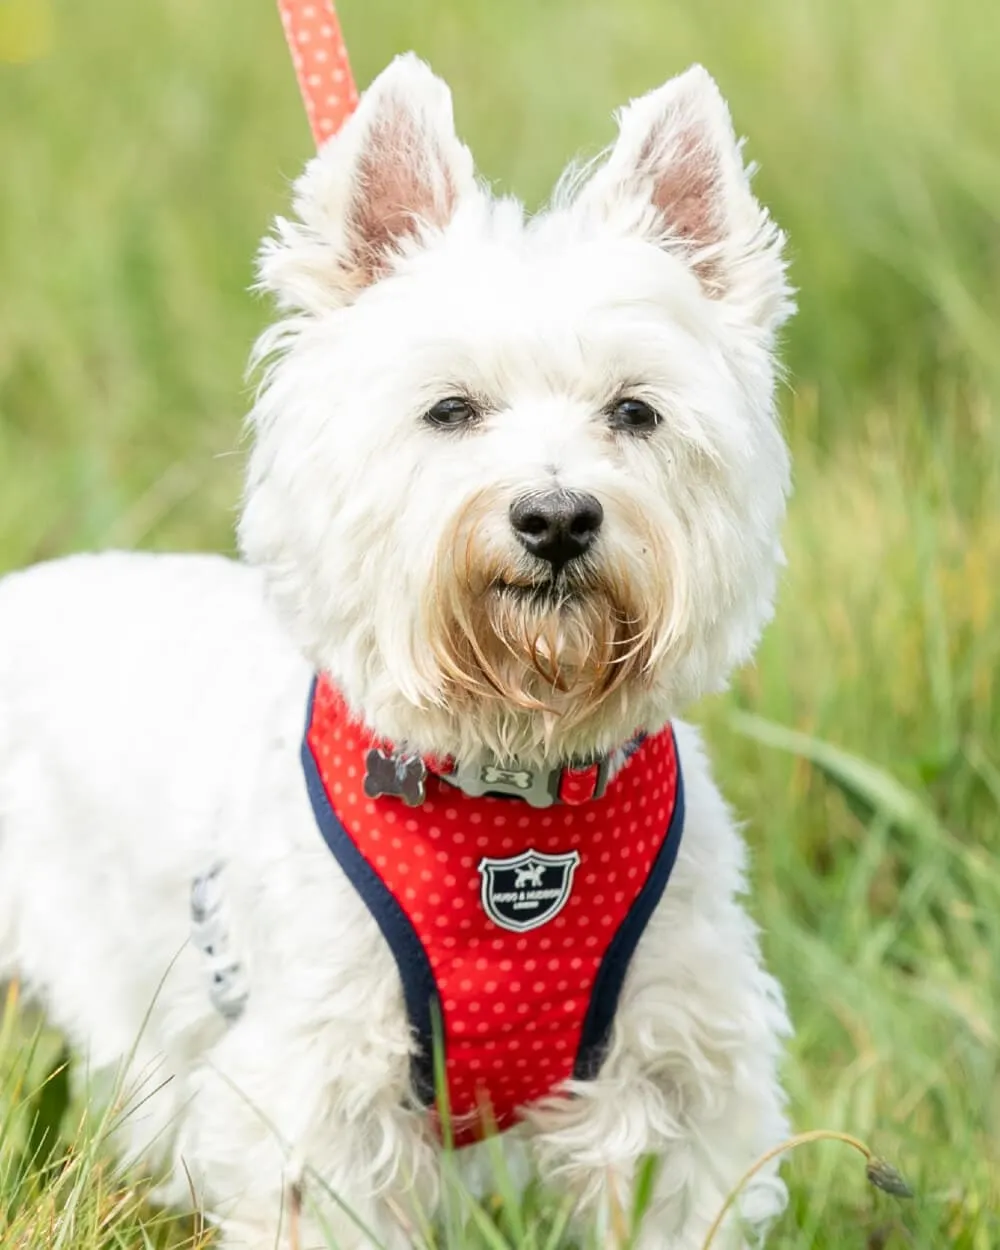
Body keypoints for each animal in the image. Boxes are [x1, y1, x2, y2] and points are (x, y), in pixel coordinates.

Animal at [0, 51, 795, 1250]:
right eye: (450, 409)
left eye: (635, 411)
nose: (556, 518)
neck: (511, 781)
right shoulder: (317, 1097)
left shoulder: (677, 1077)